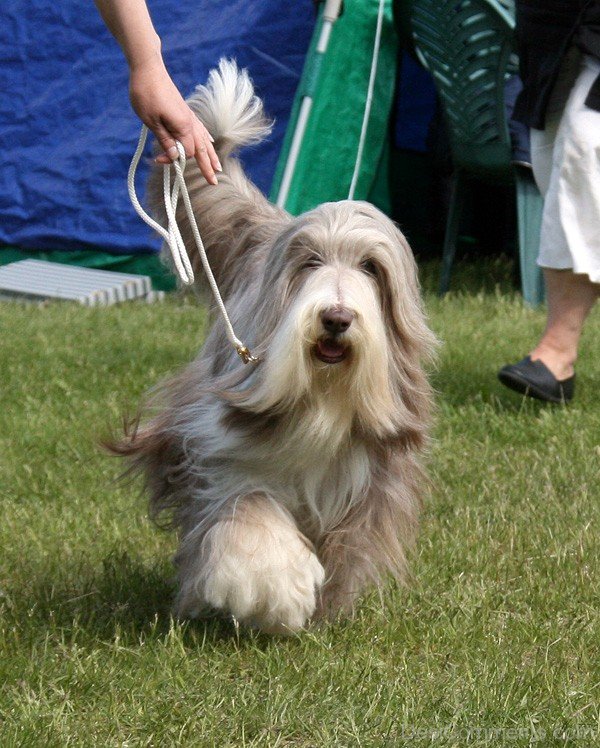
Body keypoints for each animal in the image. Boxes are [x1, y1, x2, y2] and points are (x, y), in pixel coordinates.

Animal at [116, 60, 436, 632]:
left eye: (370, 268)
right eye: (310, 262)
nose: (336, 318)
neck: (323, 398)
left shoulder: (367, 480)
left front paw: (322, 608)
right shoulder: (217, 451)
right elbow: (250, 516)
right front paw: (273, 589)